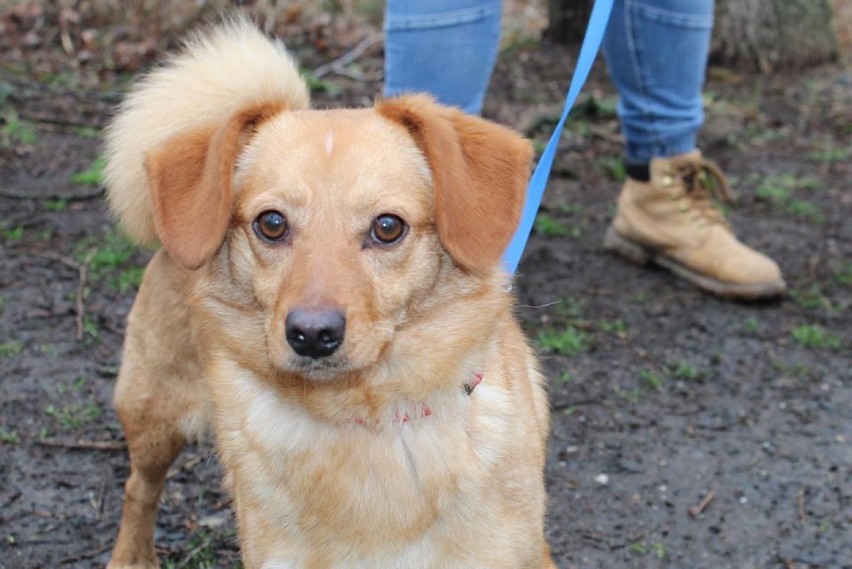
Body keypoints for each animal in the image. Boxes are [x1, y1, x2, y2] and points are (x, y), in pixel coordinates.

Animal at [105, 17, 552, 568]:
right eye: (271, 223)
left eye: (387, 227)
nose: (312, 334)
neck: (366, 415)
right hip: (154, 414)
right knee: (138, 487)